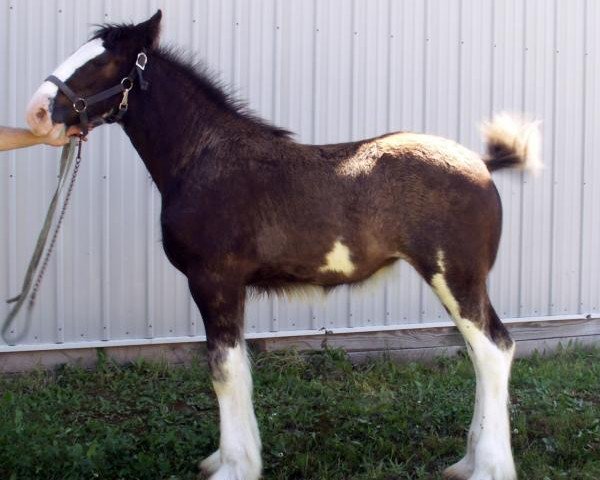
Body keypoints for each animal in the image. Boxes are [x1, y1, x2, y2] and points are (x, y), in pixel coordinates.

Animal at [25, 11, 540, 480]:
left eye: (105, 62)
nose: (36, 112)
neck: (204, 157)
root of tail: (483, 164)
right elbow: (237, 368)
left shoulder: (214, 282)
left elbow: (224, 371)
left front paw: (235, 468)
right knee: (480, 354)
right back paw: (467, 461)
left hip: (456, 278)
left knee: (493, 351)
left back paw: (488, 468)